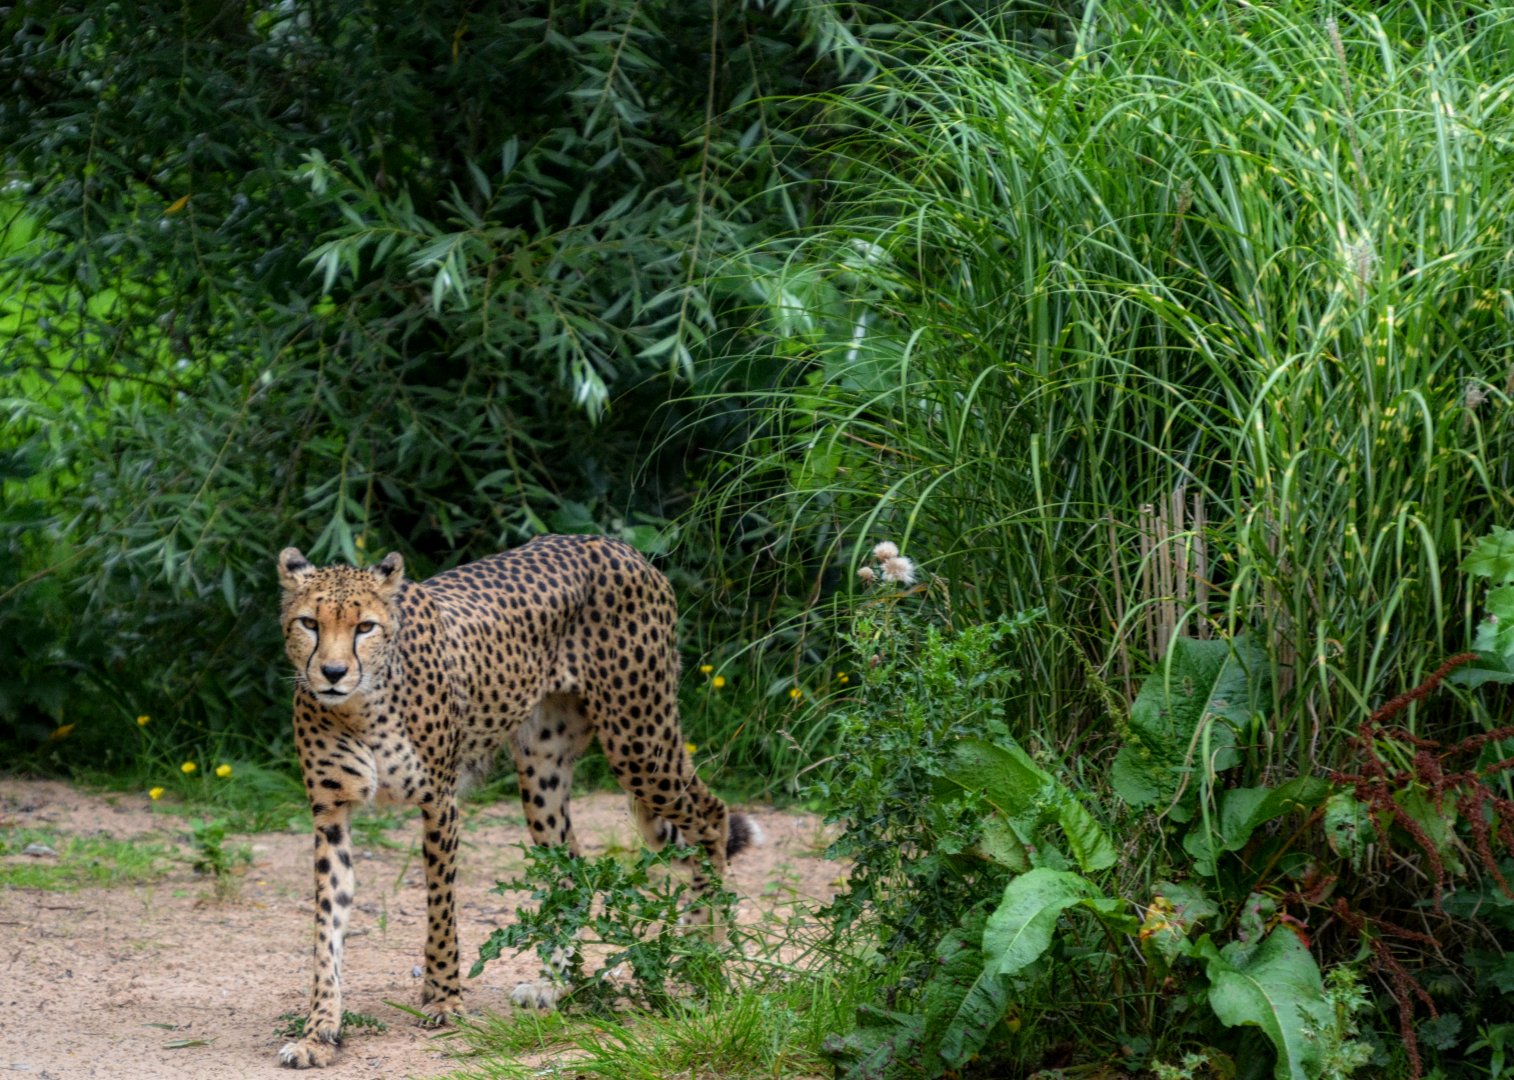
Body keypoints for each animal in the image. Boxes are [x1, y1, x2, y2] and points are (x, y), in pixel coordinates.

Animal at [274, 534, 758, 1068]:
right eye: (310, 623)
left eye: (365, 627)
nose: (333, 672)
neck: (359, 705)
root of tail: (613, 544)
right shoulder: (330, 815)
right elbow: (328, 925)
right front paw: (319, 1031)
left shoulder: (440, 802)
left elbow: (441, 910)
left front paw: (444, 1000)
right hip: (543, 767)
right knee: (572, 866)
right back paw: (556, 984)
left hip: (639, 740)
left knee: (711, 816)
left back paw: (702, 955)